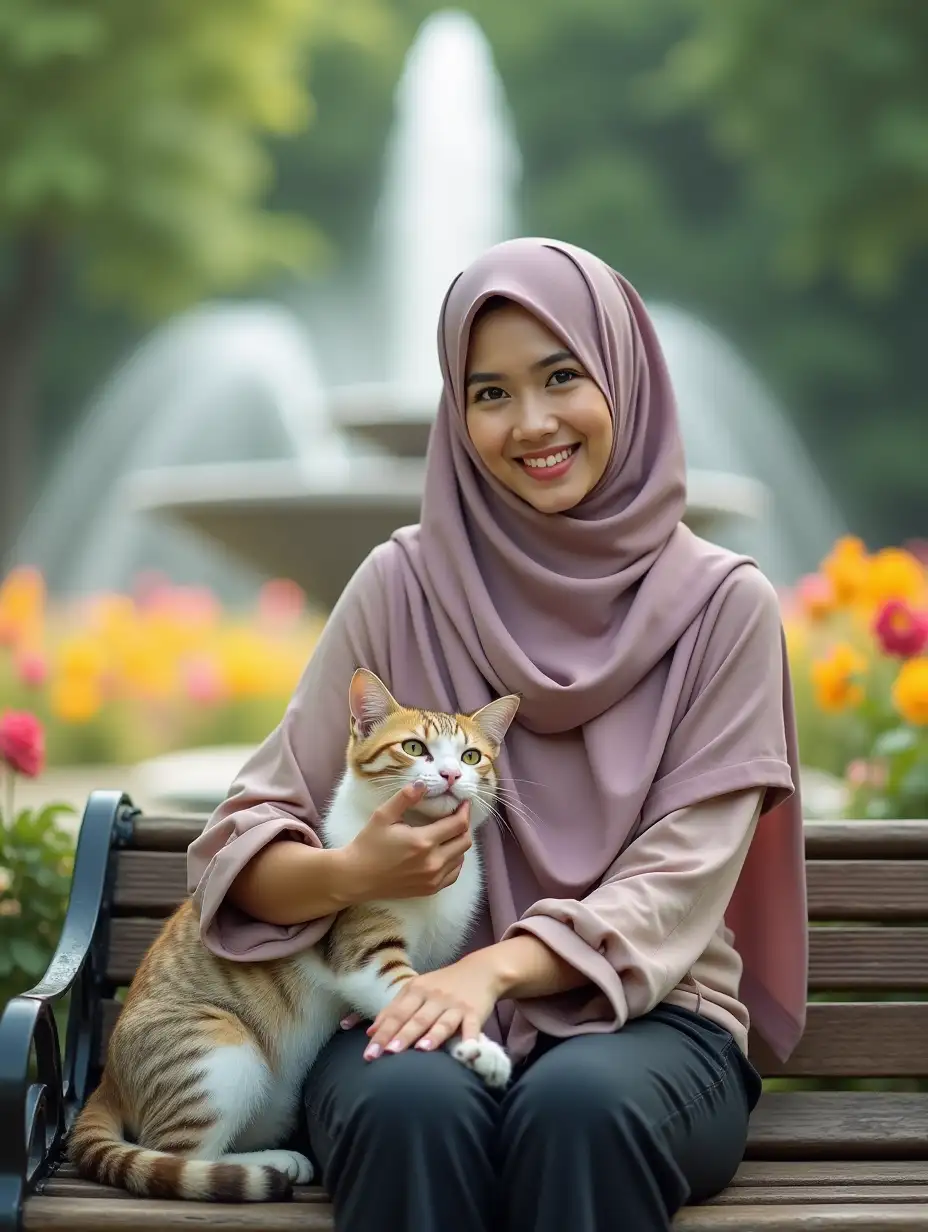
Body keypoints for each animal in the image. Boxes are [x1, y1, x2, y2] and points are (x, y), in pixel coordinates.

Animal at [70, 670, 522, 1197]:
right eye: (414, 747)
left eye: (471, 756)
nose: (451, 776)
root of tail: (106, 1080)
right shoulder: (366, 953)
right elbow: (414, 995)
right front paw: (480, 1049)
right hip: (218, 1052)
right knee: (175, 1154)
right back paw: (268, 1166)